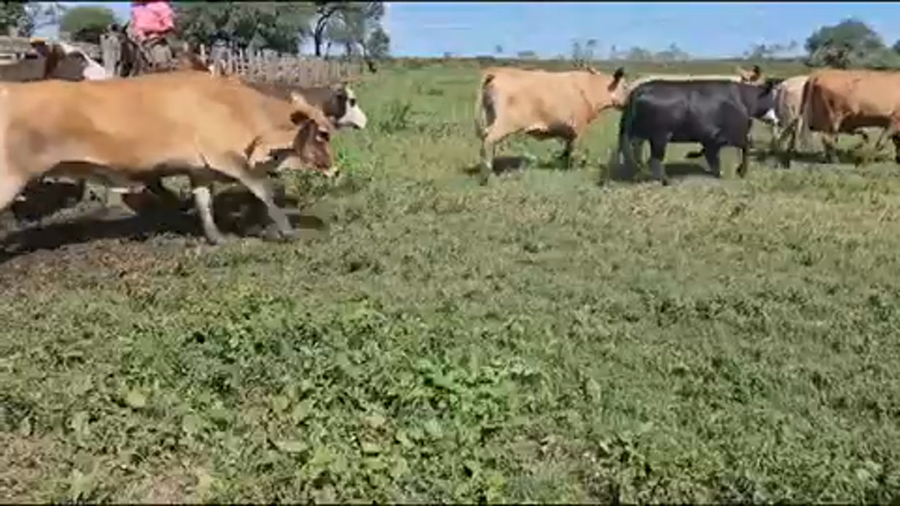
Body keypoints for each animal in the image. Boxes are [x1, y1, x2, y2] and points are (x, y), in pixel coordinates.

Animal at [0, 70, 336, 245]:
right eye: (323, 134)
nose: (334, 169)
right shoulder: (228, 159)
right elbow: (263, 190)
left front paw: (217, 238)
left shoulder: (200, 170)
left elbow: (204, 203)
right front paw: (287, 230)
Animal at [474, 65, 627, 185]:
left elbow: (567, 149)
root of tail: (496, 72)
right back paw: (486, 176)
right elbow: (576, 150)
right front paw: (575, 168)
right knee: (488, 141)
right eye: (625, 87)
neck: (591, 87)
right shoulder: (579, 127)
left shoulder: (569, 130)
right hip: (504, 124)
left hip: (490, 117)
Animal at [613, 78, 780, 186]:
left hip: (640, 135)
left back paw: (640, 174)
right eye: (771, 99)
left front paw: (717, 172)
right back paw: (666, 181)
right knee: (654, 160)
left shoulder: (712, 139)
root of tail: (639, 89)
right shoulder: (735, 135)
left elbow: (713, 156)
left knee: (637, 154)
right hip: (659, 137)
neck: (742, 99)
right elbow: (746, 148)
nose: (776, 120)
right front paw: (740, 171)